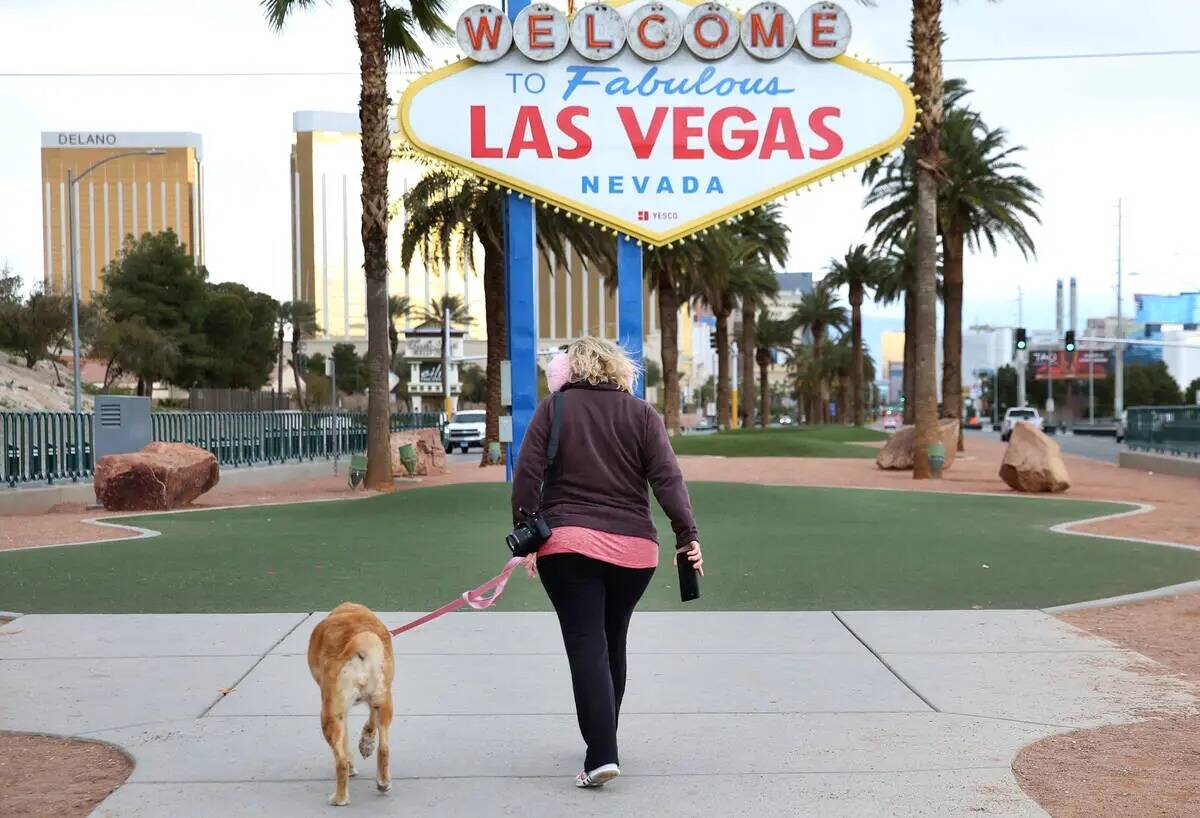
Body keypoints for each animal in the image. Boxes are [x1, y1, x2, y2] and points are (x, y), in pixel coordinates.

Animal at [307, 599, 396, 801]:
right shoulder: (376, 700)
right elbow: (370, 722)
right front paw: (366, 742)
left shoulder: (339, 710)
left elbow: (345, 744)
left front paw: (351, 766)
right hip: (385, 700)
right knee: (384, 748)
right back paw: (383, 783)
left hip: (330, 714)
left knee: (340, 760)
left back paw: (339, 799)